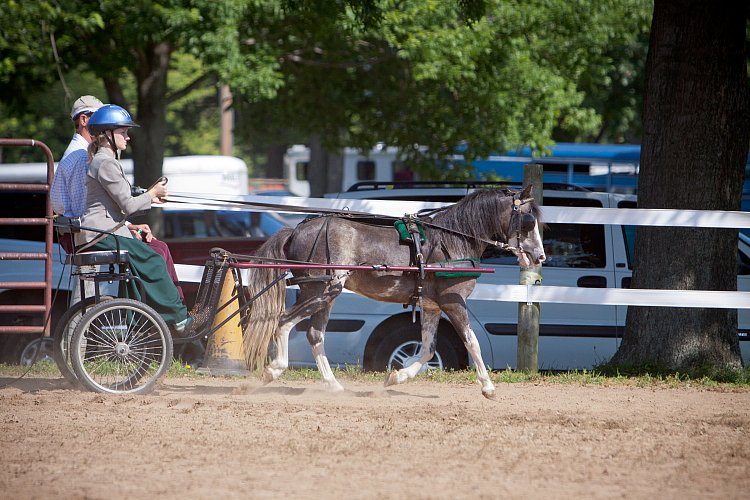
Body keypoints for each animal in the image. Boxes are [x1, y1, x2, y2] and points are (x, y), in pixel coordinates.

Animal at [245, 184, 548, 398]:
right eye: (528, 222)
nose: (540, 257)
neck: (453, 241)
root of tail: (295, 231)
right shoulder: (453, 301)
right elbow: (472, 342)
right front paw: (488, 387)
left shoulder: (432, 306)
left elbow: (428, 349)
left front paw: (395, 377)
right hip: (320, 289)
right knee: (284, 321)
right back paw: (274, 370)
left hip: (325, 294)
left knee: (314, 334)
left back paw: (333, 385)